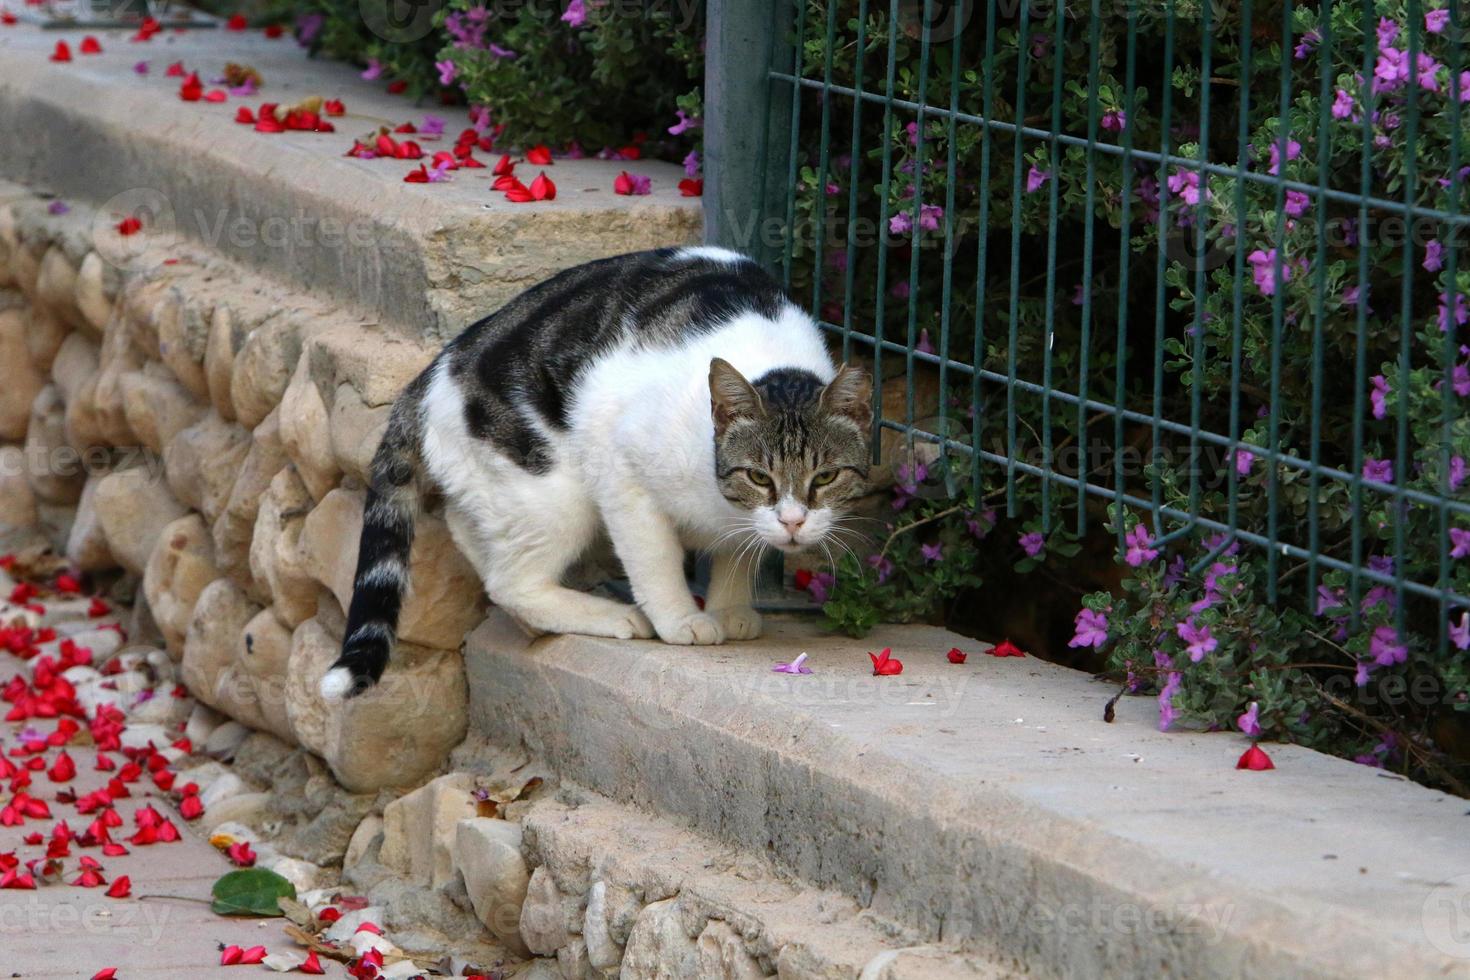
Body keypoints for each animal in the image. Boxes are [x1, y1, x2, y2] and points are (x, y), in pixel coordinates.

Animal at [321, 249, 870, 702]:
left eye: (825, 478)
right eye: (760, 477)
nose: (794, 522)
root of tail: (432, 374)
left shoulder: (740, 521)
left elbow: (736, 549)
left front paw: (729, 607)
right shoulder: (623, 470)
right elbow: (654, 558)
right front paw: (682, 620)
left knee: (472, 532)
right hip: (553, 491)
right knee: (510, 581)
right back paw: (613, 616)